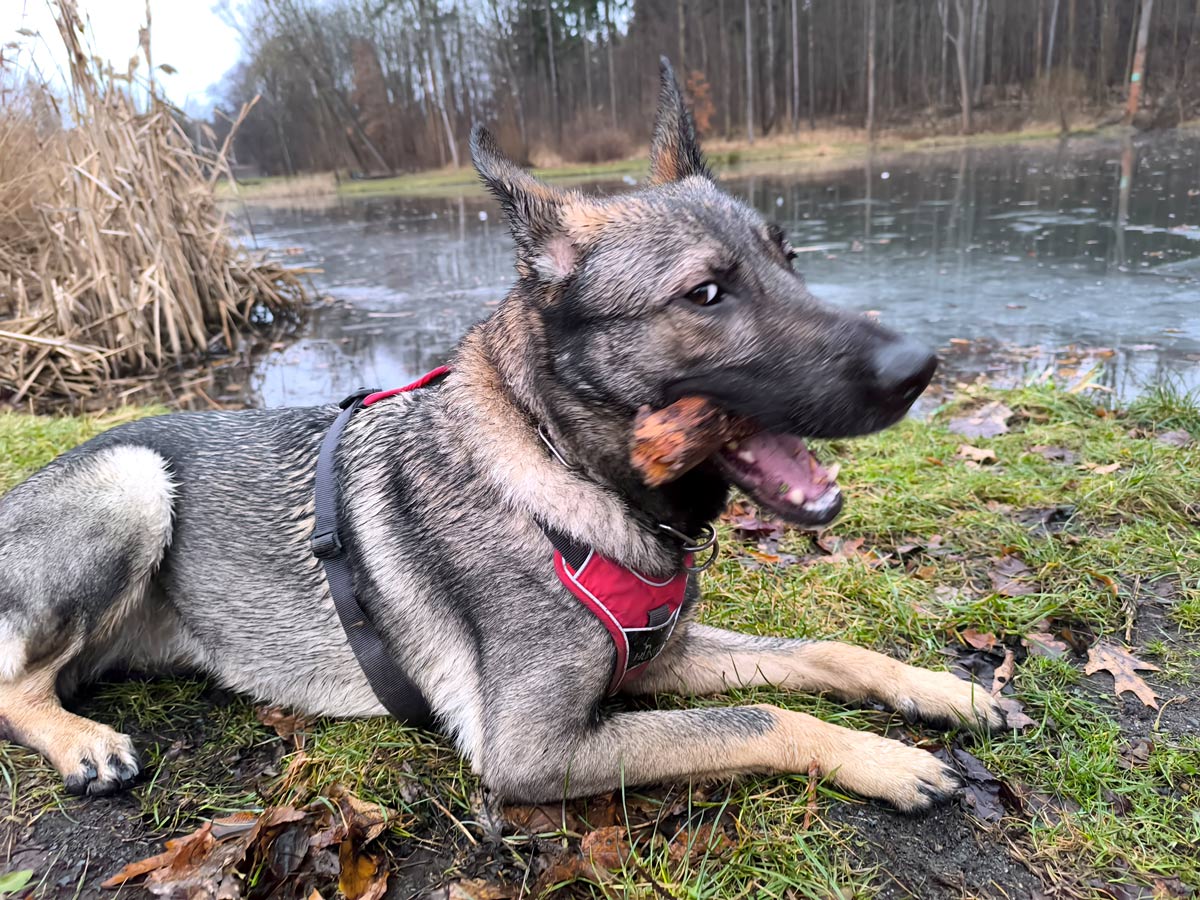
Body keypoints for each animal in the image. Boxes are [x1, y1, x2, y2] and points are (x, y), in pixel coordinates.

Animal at [0, 59, 1002, 810]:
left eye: (789, 260)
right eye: (706, 293)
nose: (919, 367)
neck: (568, 474)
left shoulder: (659, 662)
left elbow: (824, 654)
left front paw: (946, 690)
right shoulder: (533, 747)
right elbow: (765, 718)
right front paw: (888, 758)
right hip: (134, 481)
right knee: (15, 685)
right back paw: (81, 742)